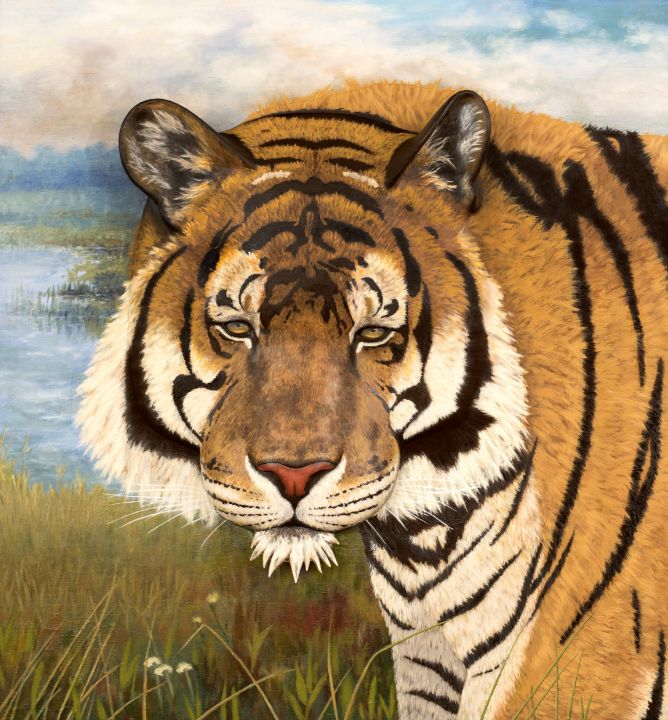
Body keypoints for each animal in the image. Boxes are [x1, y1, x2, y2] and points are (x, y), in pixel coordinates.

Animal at [77, 79, 668, 719]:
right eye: (238, 328)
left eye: (373, 333)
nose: (293, 475)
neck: (425, 540)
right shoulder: (428, 665)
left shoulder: (573, 665)